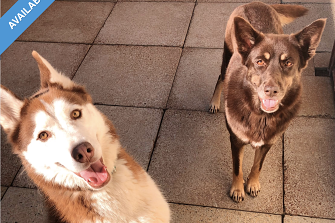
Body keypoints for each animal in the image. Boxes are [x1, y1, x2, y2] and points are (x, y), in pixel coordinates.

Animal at [209, 0, 326, 202]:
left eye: (288, 63)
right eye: (260, 62)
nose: (271, 91)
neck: (260, 115)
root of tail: (255, 2)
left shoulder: (268, 143)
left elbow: (258, 165)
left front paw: (253, 184)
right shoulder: (236, 140)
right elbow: (237, 168)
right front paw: (237, 189)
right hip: (227, 54)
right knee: (220, 77)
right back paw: (215, 102)